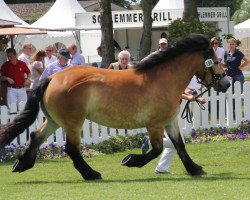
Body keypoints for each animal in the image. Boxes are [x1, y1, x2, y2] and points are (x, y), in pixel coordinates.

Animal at [0, 34, 230, 180]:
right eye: (216, 60)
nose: (226, 84)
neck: (163, 80)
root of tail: (53, 77)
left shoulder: (169, 121)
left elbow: (179, 145)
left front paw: (195, 169)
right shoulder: (154, 124)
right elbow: (156, 149)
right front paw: (130, 160)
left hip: (55, 121)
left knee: (36, 136)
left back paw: (22, 164)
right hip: (73, 123)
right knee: (71, 148)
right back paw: (91, 174)